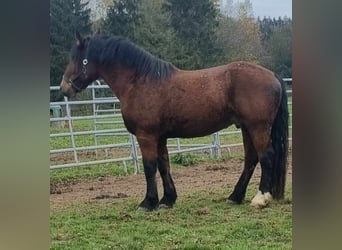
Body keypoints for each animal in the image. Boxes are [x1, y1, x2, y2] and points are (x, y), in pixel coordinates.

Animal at [60, 32, 288, 210]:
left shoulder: (146, 135)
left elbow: (149, 166)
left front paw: (148, 202)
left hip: (258, 127)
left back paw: (260, 198)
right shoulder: (159, 136)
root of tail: (272, 75)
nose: (64, 88)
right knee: (251, 158)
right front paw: (167, 200)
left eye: (80, 59)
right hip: (246, 127)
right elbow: (164, 165)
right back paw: (235, 196)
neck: (140, 82)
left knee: (266, 156)